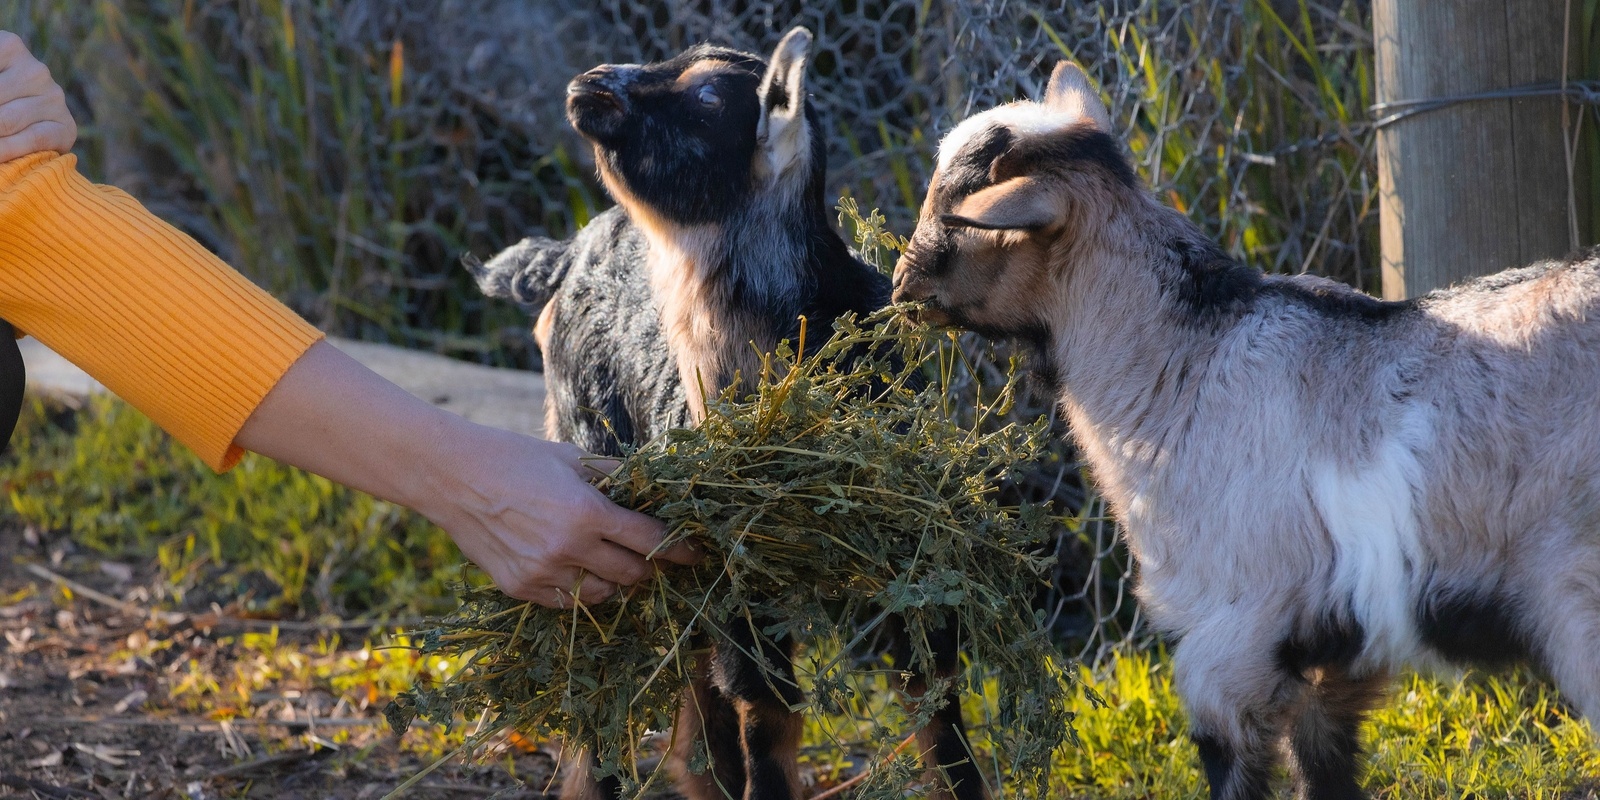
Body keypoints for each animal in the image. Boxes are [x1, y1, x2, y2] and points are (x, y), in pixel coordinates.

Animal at [470, 28, 985, 800]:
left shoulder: (912, 550)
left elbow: (935, 702)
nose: (588, 84)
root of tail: (567, 254)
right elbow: (767, 709)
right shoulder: (734, 568)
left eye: (709, 96)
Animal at [896, 62, 1600, 800]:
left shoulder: (1230, 630)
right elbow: (1324, 767)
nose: (898, 285)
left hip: (1577, 592)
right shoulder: (1332, 652)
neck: (1181, 361)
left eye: (958, 214)